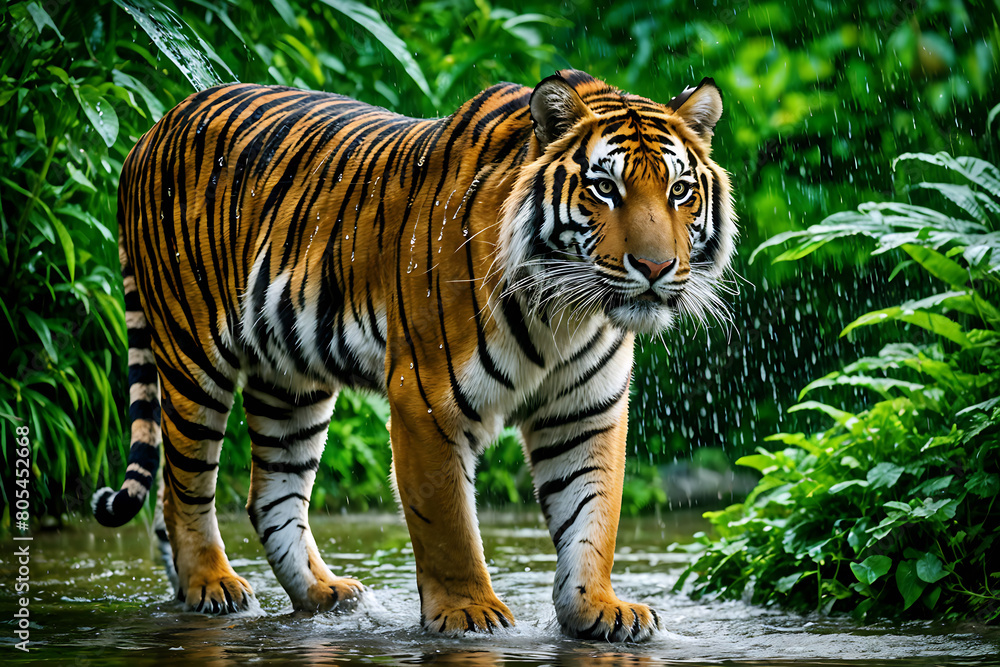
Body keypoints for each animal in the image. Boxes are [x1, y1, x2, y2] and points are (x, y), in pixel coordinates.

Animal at [91, 68, 735, 641]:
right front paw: (469, 614)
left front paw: (598, 609)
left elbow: (593, 517)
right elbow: (448, 525)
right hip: (192, 356)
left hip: (289, 380)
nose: (655, 267)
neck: (566, 314)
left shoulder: (585, 412)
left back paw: (323, 596)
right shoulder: (427, 401)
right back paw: (211, 585)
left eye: (679, 191)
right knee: (183, 487)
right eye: (605, 188)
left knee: (270, 494)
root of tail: (148, 132)